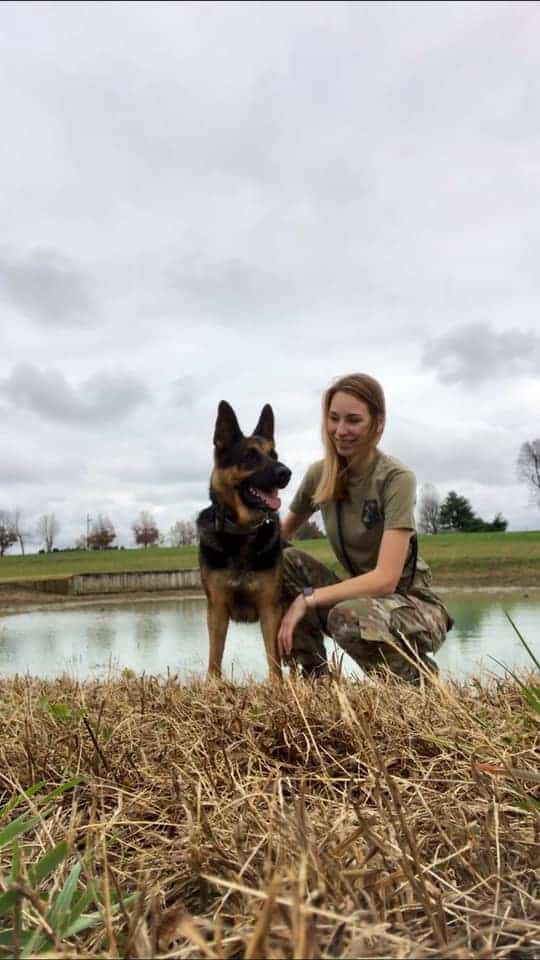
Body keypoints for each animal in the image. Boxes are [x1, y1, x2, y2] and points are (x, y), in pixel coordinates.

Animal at [197, 402, 292, 680]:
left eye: (274, 454)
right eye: (250, 456)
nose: (286, 473)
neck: (242, 532)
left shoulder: (270, 610)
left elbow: (273, 660)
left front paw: (277, 686)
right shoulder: (217, 610)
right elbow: (214, 658)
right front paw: (213, 685)